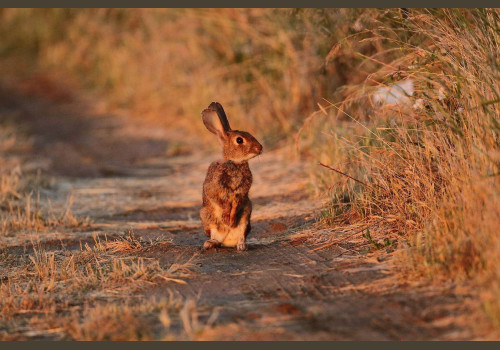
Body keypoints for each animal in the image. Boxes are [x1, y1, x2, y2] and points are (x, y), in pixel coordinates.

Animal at [198, 102, 262, 252]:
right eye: (239, 140)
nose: (260, 148)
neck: (234, 162)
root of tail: (228, 241)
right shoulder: (216, 188)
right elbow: (222, 202)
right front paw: (227, 218)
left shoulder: (241, 193)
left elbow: (236, 204)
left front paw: (231, 220)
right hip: (207, 218)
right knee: (216, 236)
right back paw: (210, 243)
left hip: (246, 217)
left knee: (242, 234)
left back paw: (241, 246)